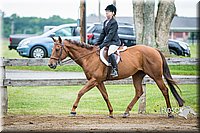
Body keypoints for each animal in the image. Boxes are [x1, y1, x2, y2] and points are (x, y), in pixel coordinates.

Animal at [48, 36, 184, 118]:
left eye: (57, 49)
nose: (50, 64)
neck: (89, 57)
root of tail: (155, 50)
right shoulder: (98, 81)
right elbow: (105, 96)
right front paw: (111, 112)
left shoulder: (94, 80)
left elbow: (80, 92)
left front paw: (73, 110)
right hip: (137, 75)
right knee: (139, 92)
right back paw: (126, 112)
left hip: (156, 76)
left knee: (164, 90)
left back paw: (170, 114)